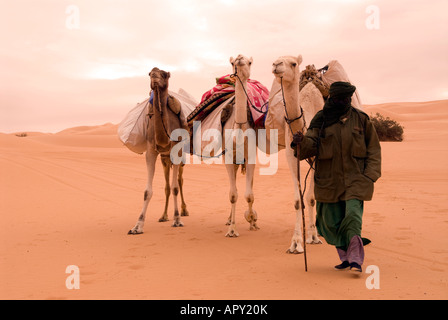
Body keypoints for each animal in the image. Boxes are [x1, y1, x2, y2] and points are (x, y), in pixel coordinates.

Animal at [128, 66, 189, 234]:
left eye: (165, 74)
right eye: (150, 73)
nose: (154, 76)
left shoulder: (176, 150)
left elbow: (175, 187)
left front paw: (177, 219)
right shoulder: (151, 151)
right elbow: (148, 191)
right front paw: (137, 226)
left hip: (181, 159)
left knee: (180, 181)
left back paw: (184, 211)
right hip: (165, 159)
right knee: (167, 186)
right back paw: (163, 216)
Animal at [270, 56, 322, 254]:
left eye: (293, 63)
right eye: (276, 60)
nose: (276, 65)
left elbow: (311, 197)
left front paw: (313, 236)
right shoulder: (291, 156)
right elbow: (298, 199)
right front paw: (296, 242)